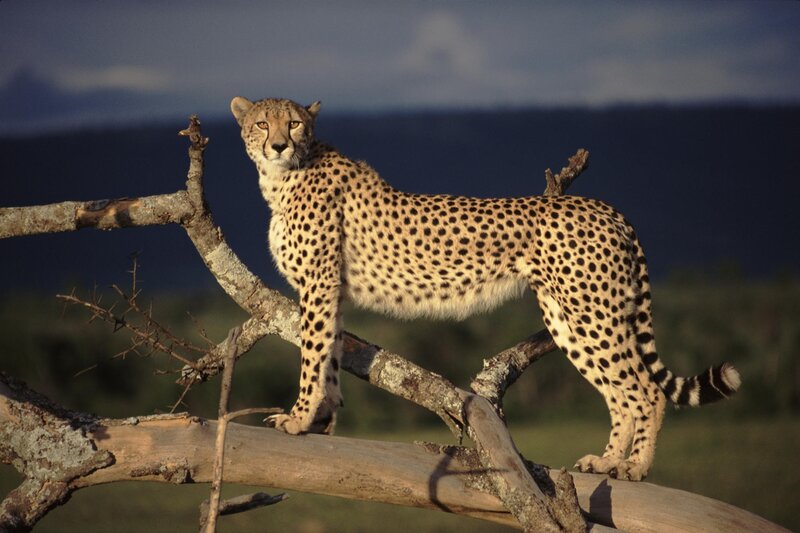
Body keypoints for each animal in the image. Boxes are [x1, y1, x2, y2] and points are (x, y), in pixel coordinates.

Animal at [230, 96, 741, 481]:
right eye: (262, 123)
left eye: (294, 123)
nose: (278, 145)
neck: (285, 176)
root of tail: (605, 207)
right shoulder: (331, 290)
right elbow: (330, 355)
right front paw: (320, 419)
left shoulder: (318, 285)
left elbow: (312, 354)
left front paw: (298, 418)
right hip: (568, 319)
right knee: (620, 394)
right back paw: (607, 460)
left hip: (592, 313)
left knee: (645, 391)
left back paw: (634, 468)